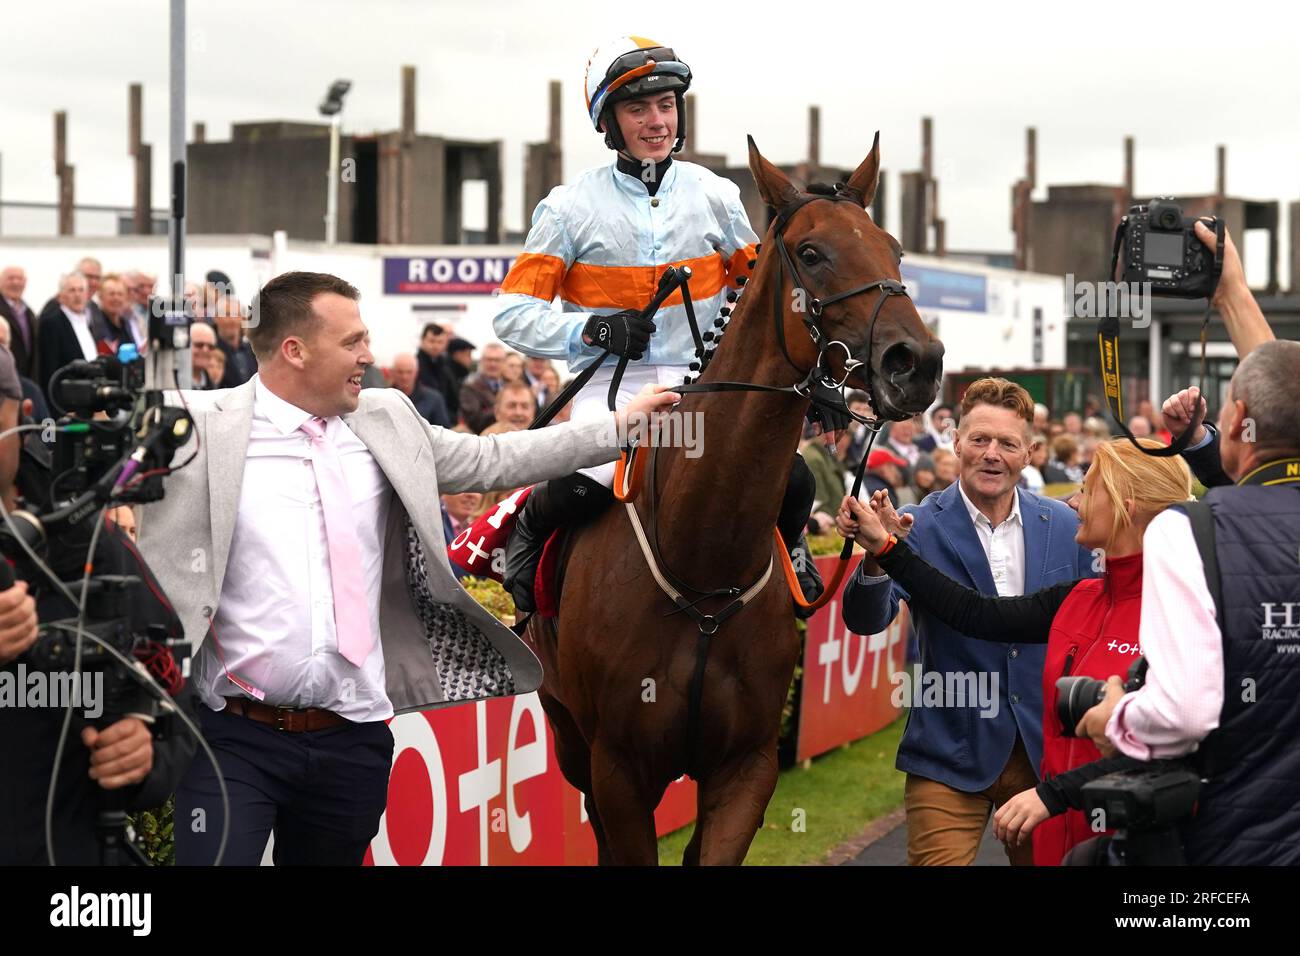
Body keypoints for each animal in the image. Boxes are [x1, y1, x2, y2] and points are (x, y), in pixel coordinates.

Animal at [525, 132, 946, 868]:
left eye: (894, 249)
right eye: (811, 252)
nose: (915, 361)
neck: (702, 565)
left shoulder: (747, 765)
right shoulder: (618, 769)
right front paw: (618, 330)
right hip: (567, 731)